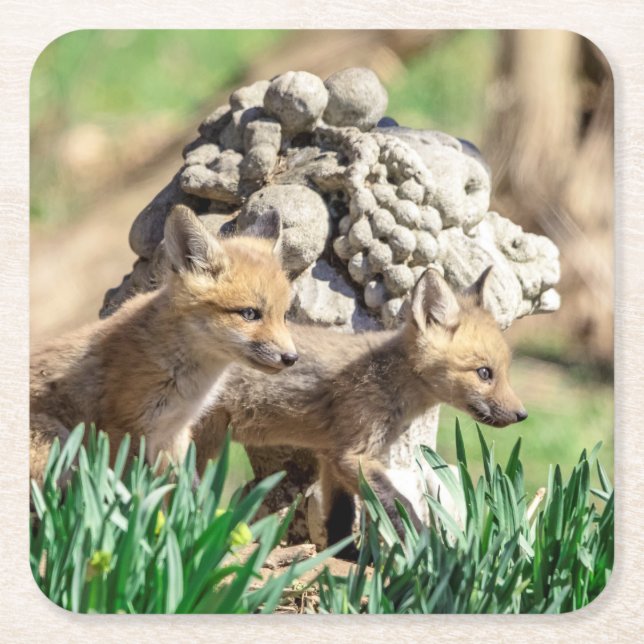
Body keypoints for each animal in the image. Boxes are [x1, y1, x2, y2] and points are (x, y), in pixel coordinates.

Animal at [30, 205, 298, 486]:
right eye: (249, 314)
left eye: (284, 315)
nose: (291, 358)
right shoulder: (122, 430)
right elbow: (124, 490)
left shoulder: (173, 433)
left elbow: (183, 492)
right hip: (59, 444)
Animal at [193, 266, 527, 556]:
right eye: (484, 373)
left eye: (505, 372)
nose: (522, 415)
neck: (388, 379)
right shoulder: (354, 455)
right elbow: (400, 505)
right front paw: (431, 551)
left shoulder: (333, 454)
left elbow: (340, 515)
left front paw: (344, 556)